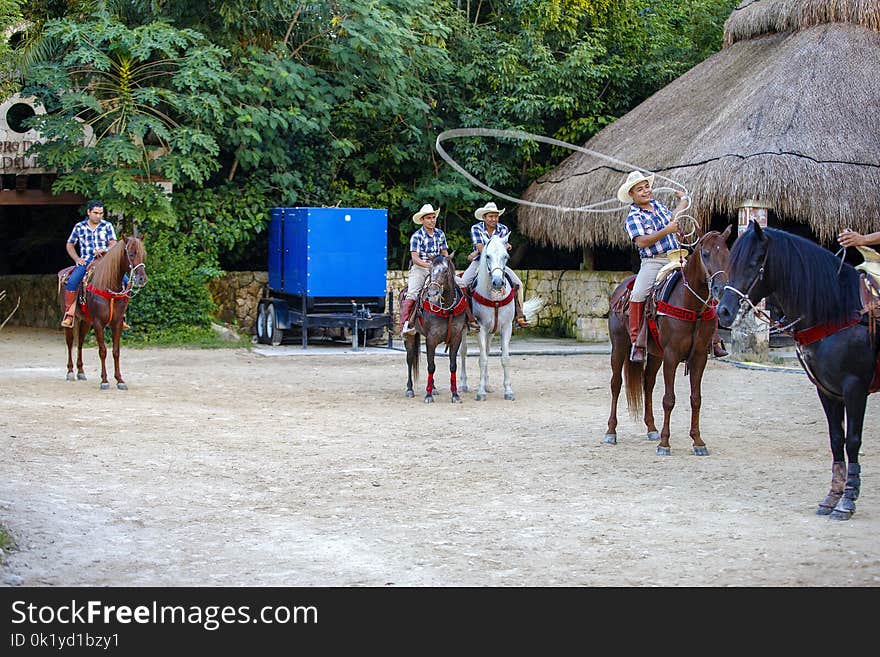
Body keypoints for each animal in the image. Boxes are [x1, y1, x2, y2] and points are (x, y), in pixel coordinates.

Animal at [59, 236, 148, 390]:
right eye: (131, 254)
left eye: (143, 255)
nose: (142, 279)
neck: (108, 285)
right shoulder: (98, 323)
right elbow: (102, 351)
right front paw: (104, 380)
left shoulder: (117, 323)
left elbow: (116, 351)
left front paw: (120, 380)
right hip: (71, 319)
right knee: (70, 342)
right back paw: (70, 371)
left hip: (86, 321)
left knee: (80, 342)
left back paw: (81, 371)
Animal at [460, 233, 544, 402]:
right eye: (487, 256)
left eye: (506, 256)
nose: (498, 282)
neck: (495, 298)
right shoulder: (481, 328)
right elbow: (482, 360)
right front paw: (480, 393)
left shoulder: (506, 327)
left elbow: (504, 359)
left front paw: (508, 391)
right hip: (465, 329)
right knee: (463, 351)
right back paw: (464, 384)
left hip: (491, 332)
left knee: (486, 350)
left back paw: (487, 385)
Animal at [604, 228, 728, 454]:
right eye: (706, 254)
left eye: (728, 253)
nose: (720, 289)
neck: (691, 306)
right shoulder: (671, 355)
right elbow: (669, 399)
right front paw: (664, 443)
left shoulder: (699, 357)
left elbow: (696, 399)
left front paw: (698, 442)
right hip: (619, 346)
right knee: (616, 384)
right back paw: (611, 432)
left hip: (655, 354)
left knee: (648, 383)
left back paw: (651, 428)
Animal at [720, 223, 876, 520]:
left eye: (754, 263)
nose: (723, 310)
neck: (839, 312)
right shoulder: (827, 390)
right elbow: (836, 439)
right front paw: (832, 496)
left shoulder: (855, 388)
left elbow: (852, 441)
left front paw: (847, 500)